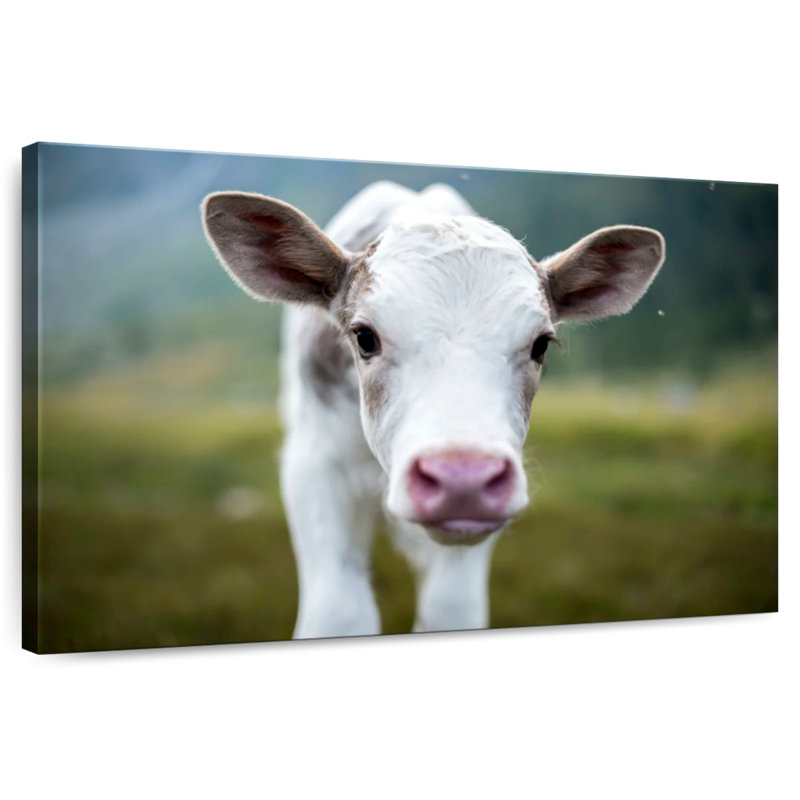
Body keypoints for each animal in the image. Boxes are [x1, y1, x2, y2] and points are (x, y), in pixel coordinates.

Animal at [202, 180, 665, 639]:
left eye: (541, 344)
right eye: (364, 337)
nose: (463, 479)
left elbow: (450, 608)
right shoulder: (314, 466)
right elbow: (340, 612)